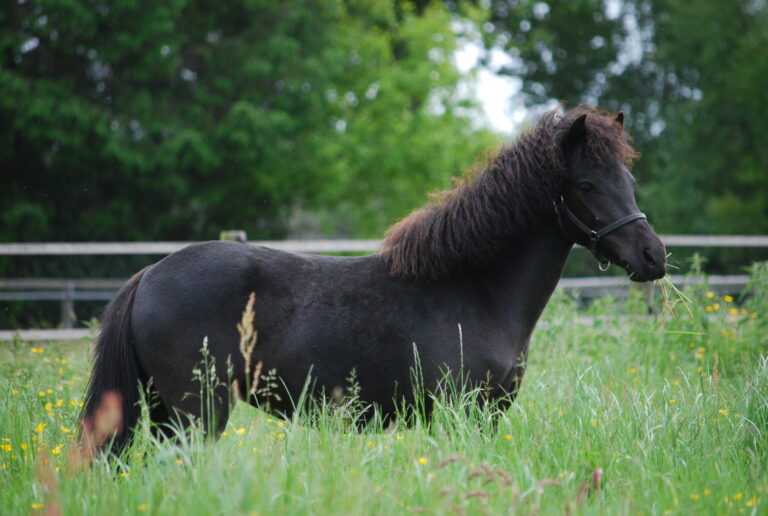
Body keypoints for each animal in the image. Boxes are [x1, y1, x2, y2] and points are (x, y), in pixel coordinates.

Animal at [81, 107, 664, 454]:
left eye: (628, 178)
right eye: (587, 184)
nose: (653, 255)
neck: (473, 290)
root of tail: (150, 273)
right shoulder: (463, 414)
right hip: (194, 413)